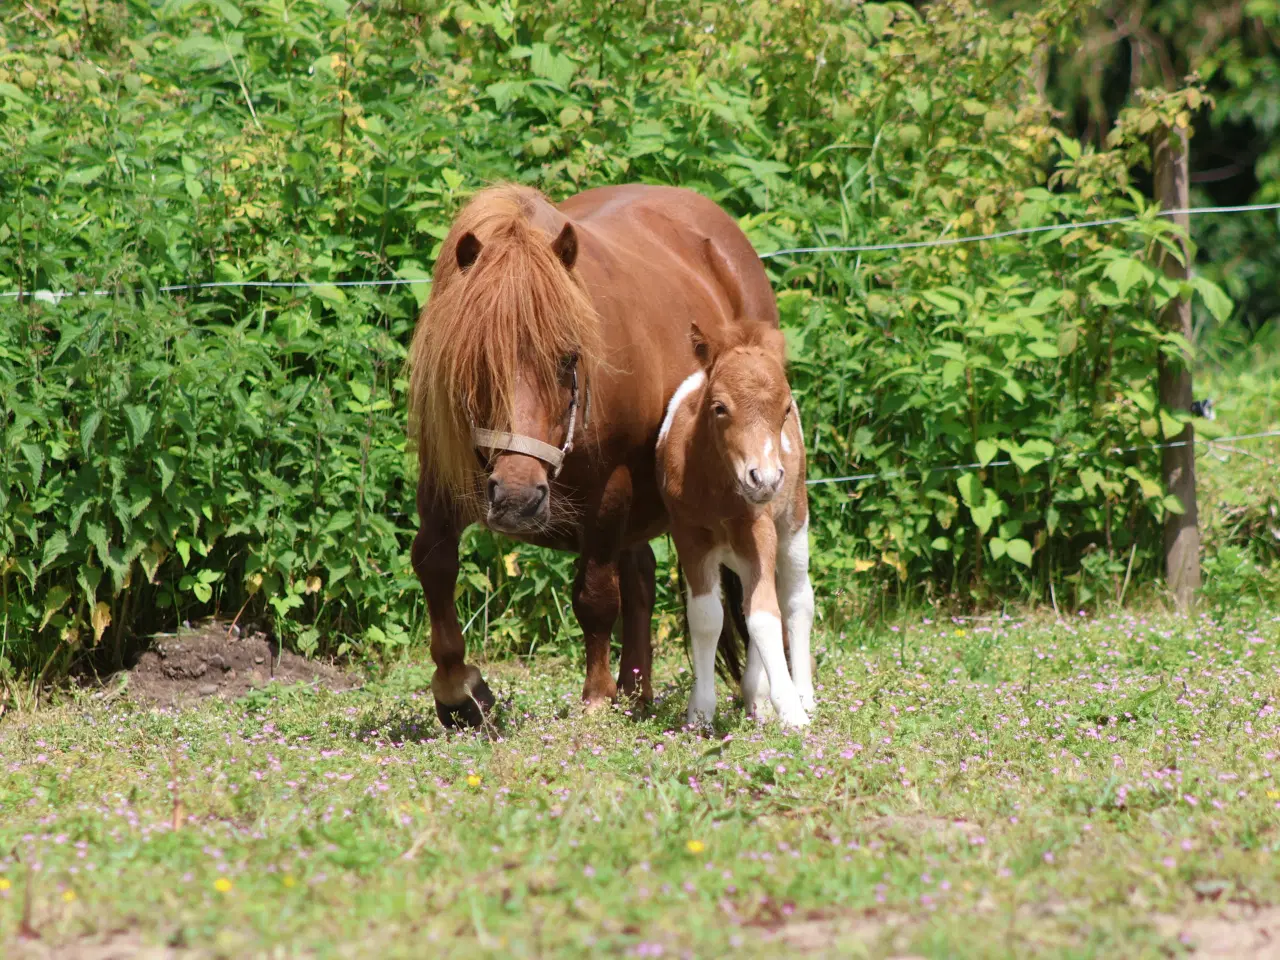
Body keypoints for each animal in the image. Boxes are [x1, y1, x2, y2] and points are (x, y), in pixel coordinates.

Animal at [404, 181, 773, 727]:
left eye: (569, 358)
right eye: (478, 360)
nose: (517, 498)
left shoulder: (609, 490)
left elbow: (595, 596)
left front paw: (597, 697)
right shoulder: (442, 480)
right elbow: (433, 562)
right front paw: (460, 692)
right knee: (641, 574)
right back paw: (637, 691)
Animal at [655, 320, 814, 727]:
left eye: (785, 408)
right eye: (720, 407)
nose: (766, 479)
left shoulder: (759, 529)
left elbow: (764, 615)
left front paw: (790, 710)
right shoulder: (689, 535)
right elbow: (707, 616)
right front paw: (700, 712)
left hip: (794, 521)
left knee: (796, 599)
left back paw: (803, 695)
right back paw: (756, 694)